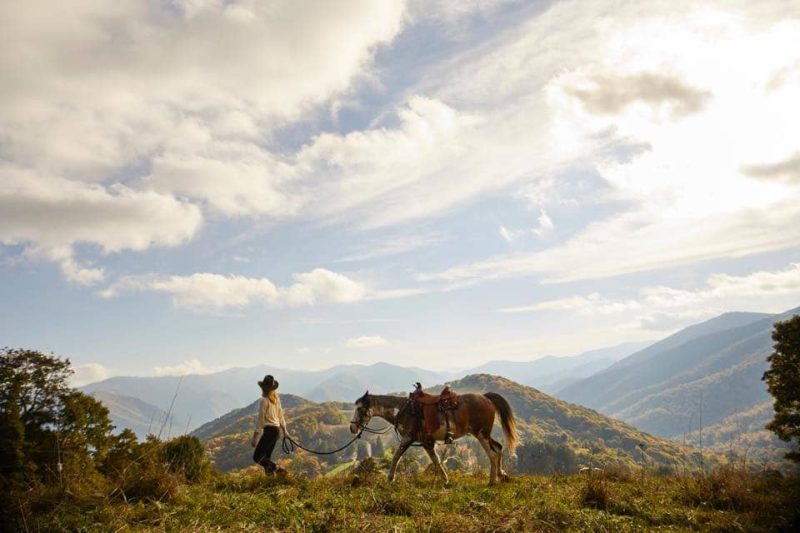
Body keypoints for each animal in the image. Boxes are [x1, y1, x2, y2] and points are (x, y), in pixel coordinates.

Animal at [350, 386, 520, 486]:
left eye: (359, 409)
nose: (352, 427)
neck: (404, 410)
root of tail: (485, 397)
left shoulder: (408, 438)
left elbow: (396, 456)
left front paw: (390, 478)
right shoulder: (427, 443)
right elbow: (436, 460)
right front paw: (445, 480)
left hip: (481, 434)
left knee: (492, 454)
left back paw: (492, 481)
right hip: (485, 434)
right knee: (498, 448)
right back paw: (502, 475)